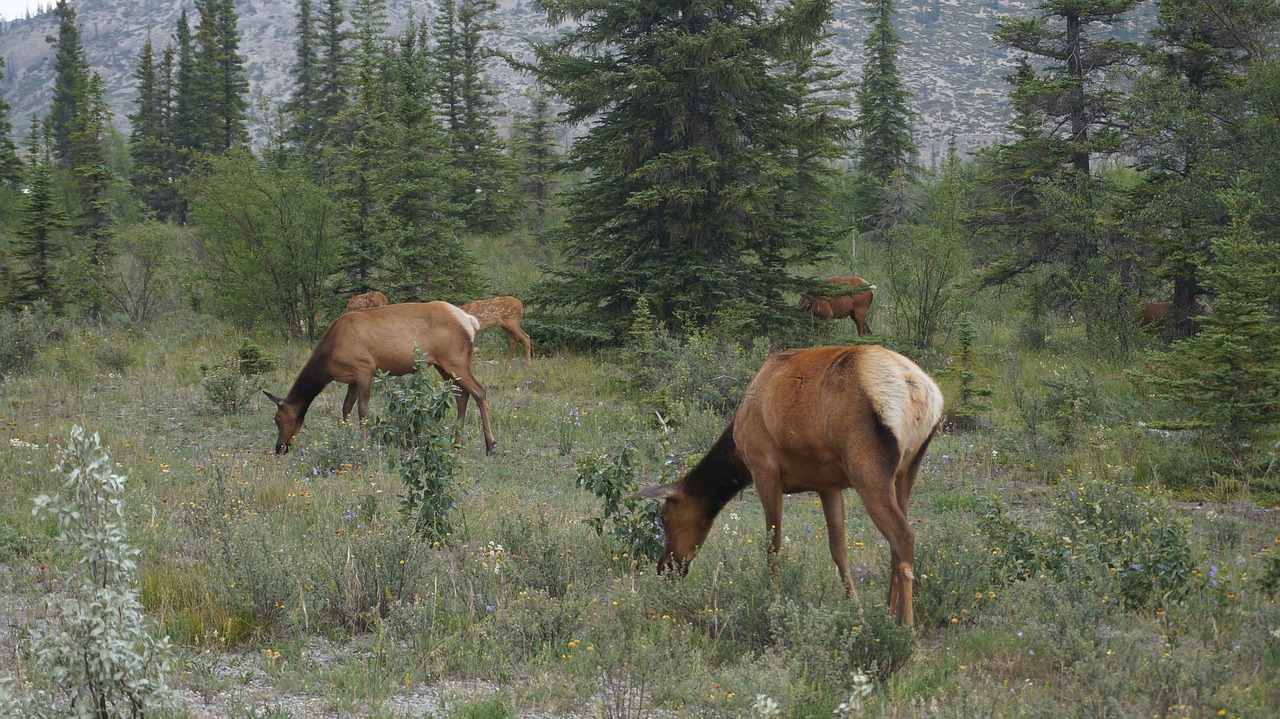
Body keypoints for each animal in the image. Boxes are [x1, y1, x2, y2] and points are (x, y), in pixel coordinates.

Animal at [264, 301, 494, 452]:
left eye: (277, 419)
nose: (279, 447)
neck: (329, 357)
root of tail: (471, 322)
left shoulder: (365, 367)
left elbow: (362, 409)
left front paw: (363, 442)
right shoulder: (352, 378)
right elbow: (346, 408)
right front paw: (346, 436)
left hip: (455, 360)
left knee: (479, 391)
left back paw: (490, 446)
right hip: (444, 366)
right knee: (461, 395)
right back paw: (457, 442)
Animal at [637, 340, 947, 621]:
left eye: (664, 516)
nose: (663, 567)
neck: (737, 452)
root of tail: (918, 389)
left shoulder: (764, 468)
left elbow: (772, 545)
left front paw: (772, 599)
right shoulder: (828, 485)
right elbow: (838, 550)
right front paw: (855, 608)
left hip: (868, 468)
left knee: (903, 535)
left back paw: (904, 625)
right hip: (908, 469)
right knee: (898, 538)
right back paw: (886, 613)